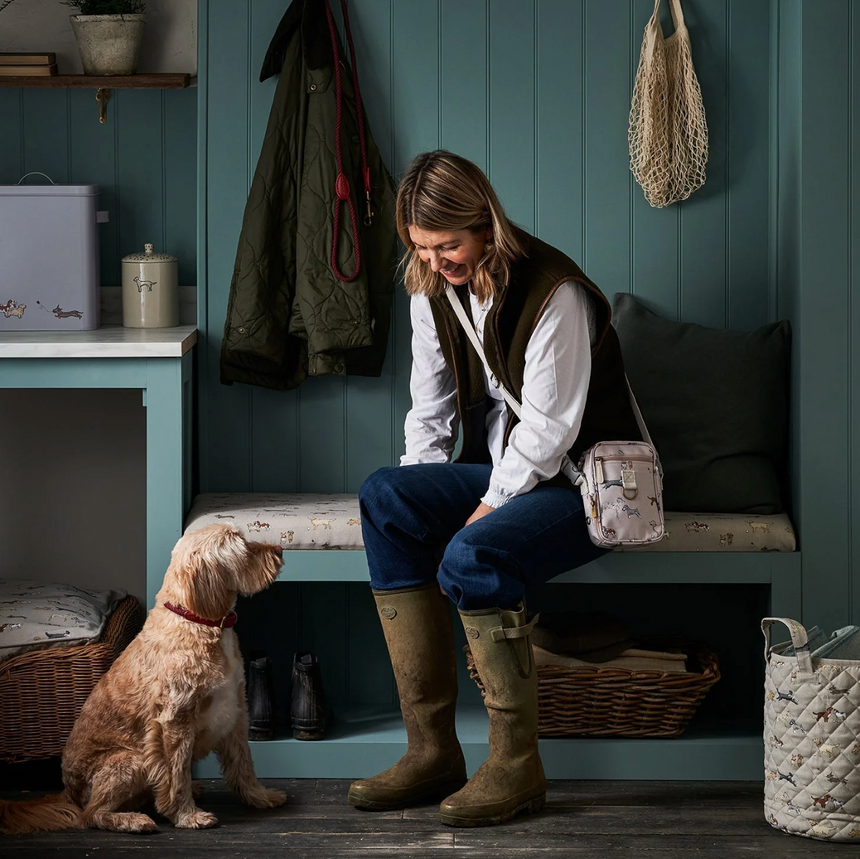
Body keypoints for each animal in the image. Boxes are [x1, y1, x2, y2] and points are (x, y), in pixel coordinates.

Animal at [0, 524, 288, 832]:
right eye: (241, 545)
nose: (280, 550)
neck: (195, 619)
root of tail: (68, 792)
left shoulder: (235, 710)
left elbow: (243, 763)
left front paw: (260, 796)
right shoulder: (174, 722)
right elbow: (176, 775)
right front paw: (187, 815)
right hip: (133, 758)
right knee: (91, 814)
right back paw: (132, 820)